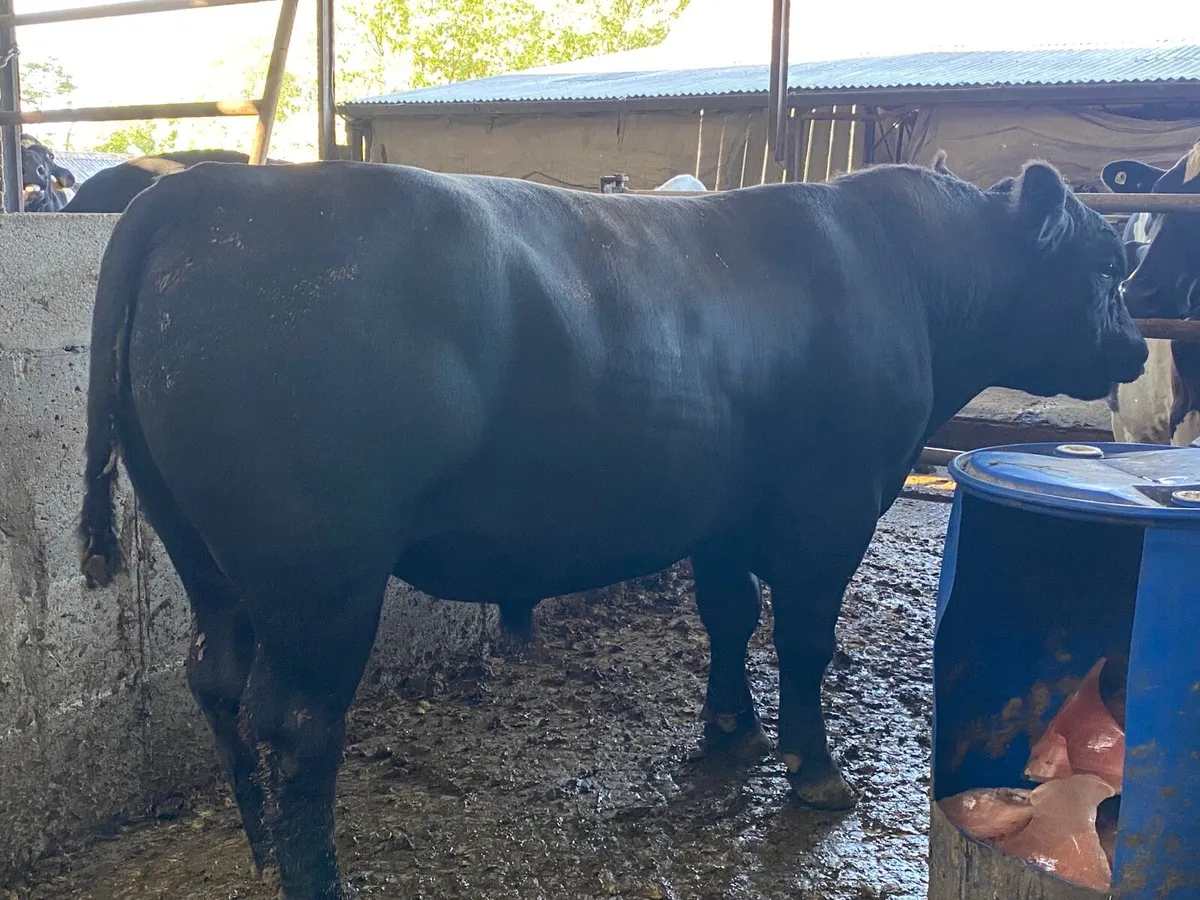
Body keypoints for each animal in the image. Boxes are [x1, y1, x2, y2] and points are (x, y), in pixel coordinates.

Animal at [76, 157, 1146, 899]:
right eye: (1107, 262)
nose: (1137, 349)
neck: (907, 278)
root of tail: (205, 190)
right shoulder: (830, 511)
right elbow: (802, 639)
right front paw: (813, 768)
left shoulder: (721, 514)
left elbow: (727, 616)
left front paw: (727, 732)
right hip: (320, 574)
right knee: (297, 722)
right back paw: (313, 874)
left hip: (207, 559)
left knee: (215, 681)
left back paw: (259, 846)